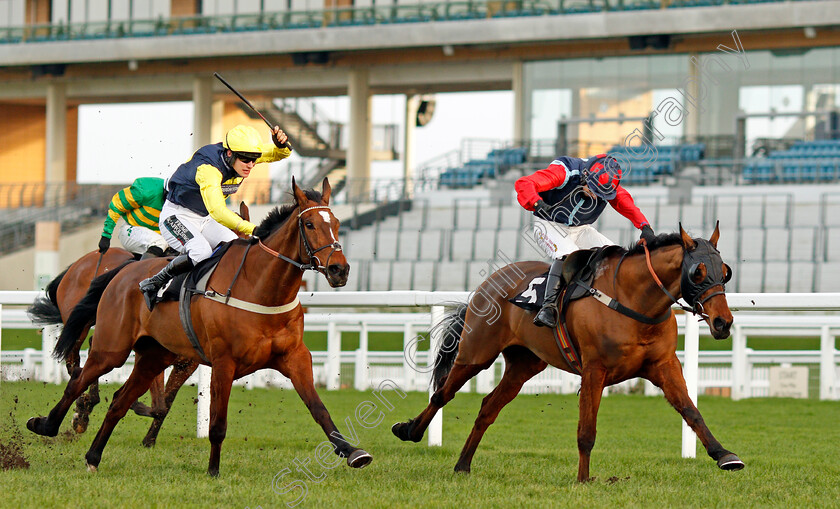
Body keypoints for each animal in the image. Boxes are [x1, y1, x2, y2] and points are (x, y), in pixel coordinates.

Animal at [27, 177, 372, 474]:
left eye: (337, 225)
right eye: (310, 224)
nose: (339, 269)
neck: (260, 287)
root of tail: (122, 272)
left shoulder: (294, 357)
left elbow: (319, 409)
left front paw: (353, 452)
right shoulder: (223, 362)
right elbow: (216, 424)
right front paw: (213, 470)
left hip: (154, 355)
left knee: (118, 402)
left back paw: (93, 456)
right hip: (111, 347)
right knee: (78, 379)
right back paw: (50, 423)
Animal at [390, 225, 744, 480]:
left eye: (725, 271)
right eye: (697, 272)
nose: (722, 322)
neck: (634, 301)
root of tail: (488, 284)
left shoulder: (663, 365)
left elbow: (691, 411)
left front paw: (725, 455)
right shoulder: (594, 370)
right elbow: (586, 430)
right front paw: (583, 479)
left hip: (524, 365)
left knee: (488, 407)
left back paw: (463, 464)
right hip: (476, 353)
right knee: (442, 394)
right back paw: (409, 430)